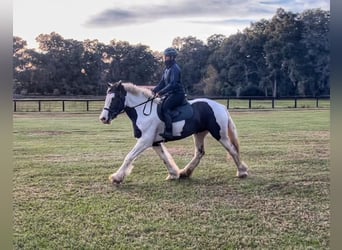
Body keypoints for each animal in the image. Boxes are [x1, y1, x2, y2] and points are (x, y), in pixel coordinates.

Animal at [99, 81, 248, 185]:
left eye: (114, 98)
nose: (103, 118)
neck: (142, 111)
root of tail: (220, 106)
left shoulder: (145, 141)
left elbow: (129, 157)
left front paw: (116, 177)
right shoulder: (154, 142)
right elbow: (164, 158)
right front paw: (173, 174)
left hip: (219, 134)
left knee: (232, 150)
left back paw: (242, 171)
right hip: (199, 133)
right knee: (199, 153)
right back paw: (185, 173)